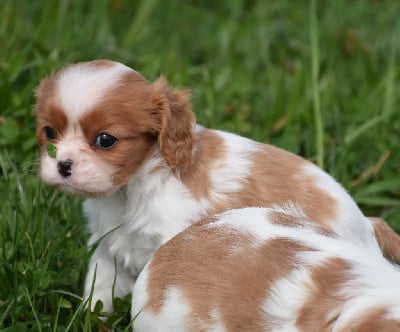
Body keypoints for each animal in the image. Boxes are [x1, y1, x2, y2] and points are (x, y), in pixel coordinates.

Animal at [35, 60, 400, 314]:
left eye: (105, 140)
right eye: (50, 132)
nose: (63, 165)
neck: (131, 190)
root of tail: (368, 225)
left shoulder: (173, 237)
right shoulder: (107, 245)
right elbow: (99, 292)